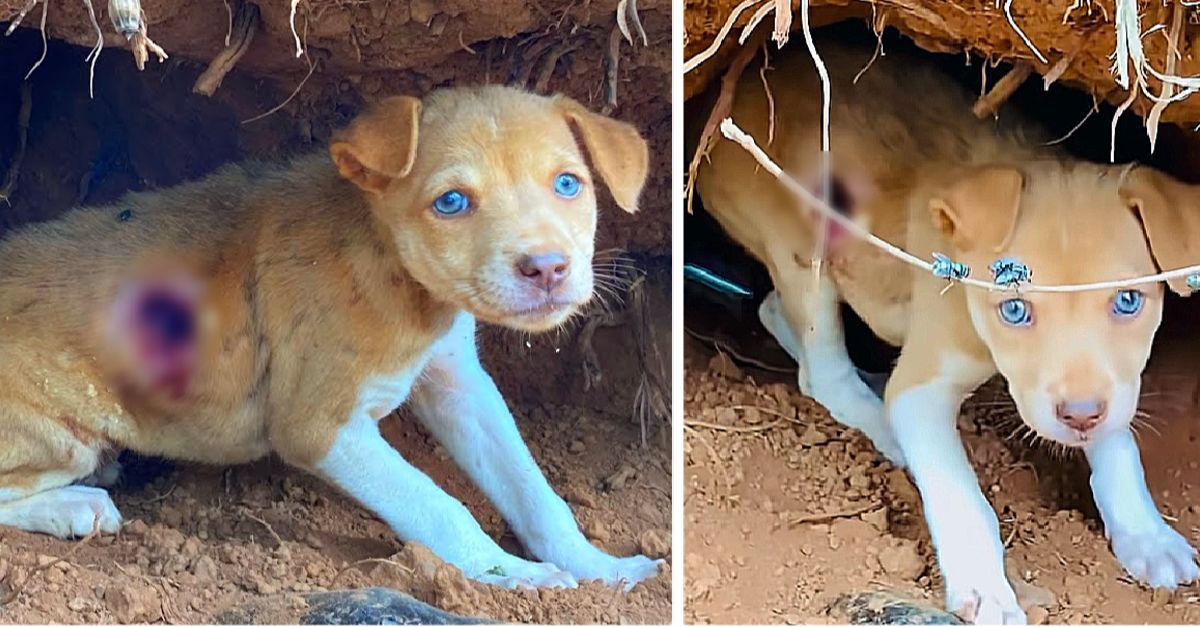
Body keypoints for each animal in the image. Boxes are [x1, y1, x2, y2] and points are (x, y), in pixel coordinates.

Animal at [0, 85, 667, 588]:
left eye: (568, 184)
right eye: (451, 202)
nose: (548, 268)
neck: (396, 277)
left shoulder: (459, 384)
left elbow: (532, 488)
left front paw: (600, 567)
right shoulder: (319, 428)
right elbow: (438, 505)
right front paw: (512, 576)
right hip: (60, 435)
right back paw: (75, 505)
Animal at [696, 40, 1200, 619]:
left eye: (1128, 301)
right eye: (1014, 310)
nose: (1078, 416)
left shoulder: (1115, 382)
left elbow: (1119, 441)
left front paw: (1148, 536)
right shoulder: (923, 388)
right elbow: (961, 494)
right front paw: (985, 586)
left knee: (772, 311)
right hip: (803, 246)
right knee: (820, 369)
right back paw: (883, 423)